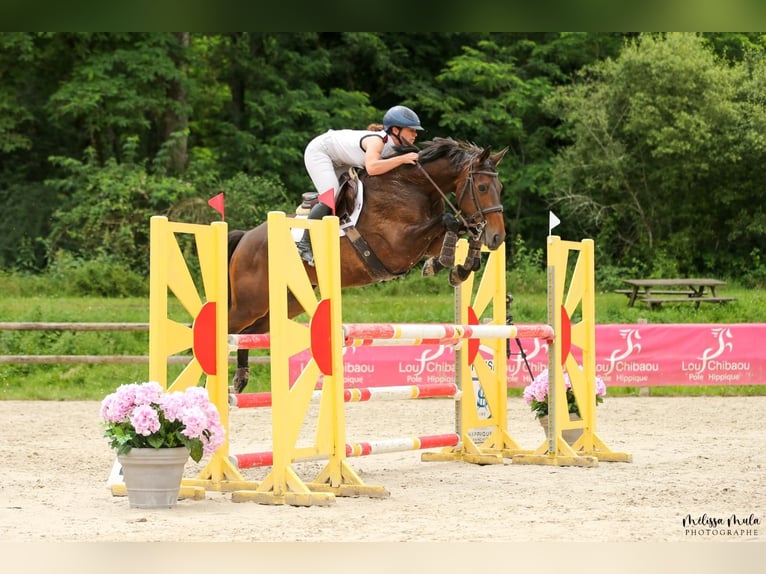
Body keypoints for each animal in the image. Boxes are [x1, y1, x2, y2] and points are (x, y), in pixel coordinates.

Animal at [226, 137, 510, 394]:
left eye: (500, 187)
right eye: (482, 187)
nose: (498, 237)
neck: (414, 187)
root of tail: (246, 237)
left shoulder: (423, 243)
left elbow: (459, 232)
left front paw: (455, 267)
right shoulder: (397, 246)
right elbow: (449, 220)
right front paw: (447, 262)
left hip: (287, 301)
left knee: (250, 333)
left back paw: (240, 379)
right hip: (250, 302)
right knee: (229, 328)